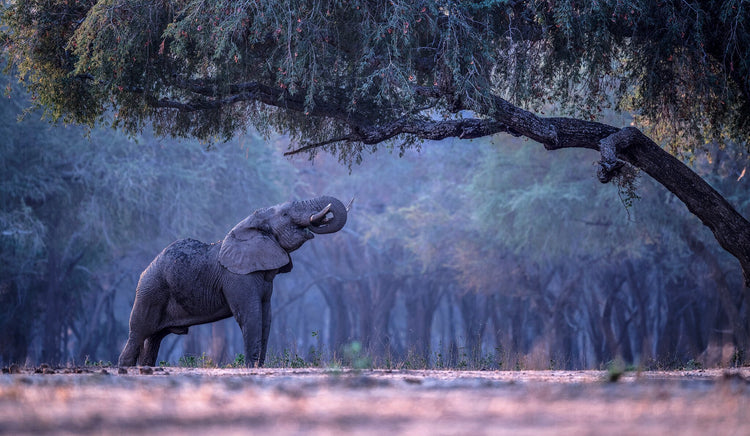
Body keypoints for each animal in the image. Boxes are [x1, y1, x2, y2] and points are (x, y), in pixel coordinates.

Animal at [118, 196, 347, 367]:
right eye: (285, 214)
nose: (320, 219)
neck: (250, 224)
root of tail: (145, 270)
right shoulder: (237, 278)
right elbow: (251, 316)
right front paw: (252, 367)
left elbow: (266, 316)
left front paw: (258, 366)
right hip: (150, 291)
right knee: (138, 332)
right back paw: (125, 368)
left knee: (153, 339)